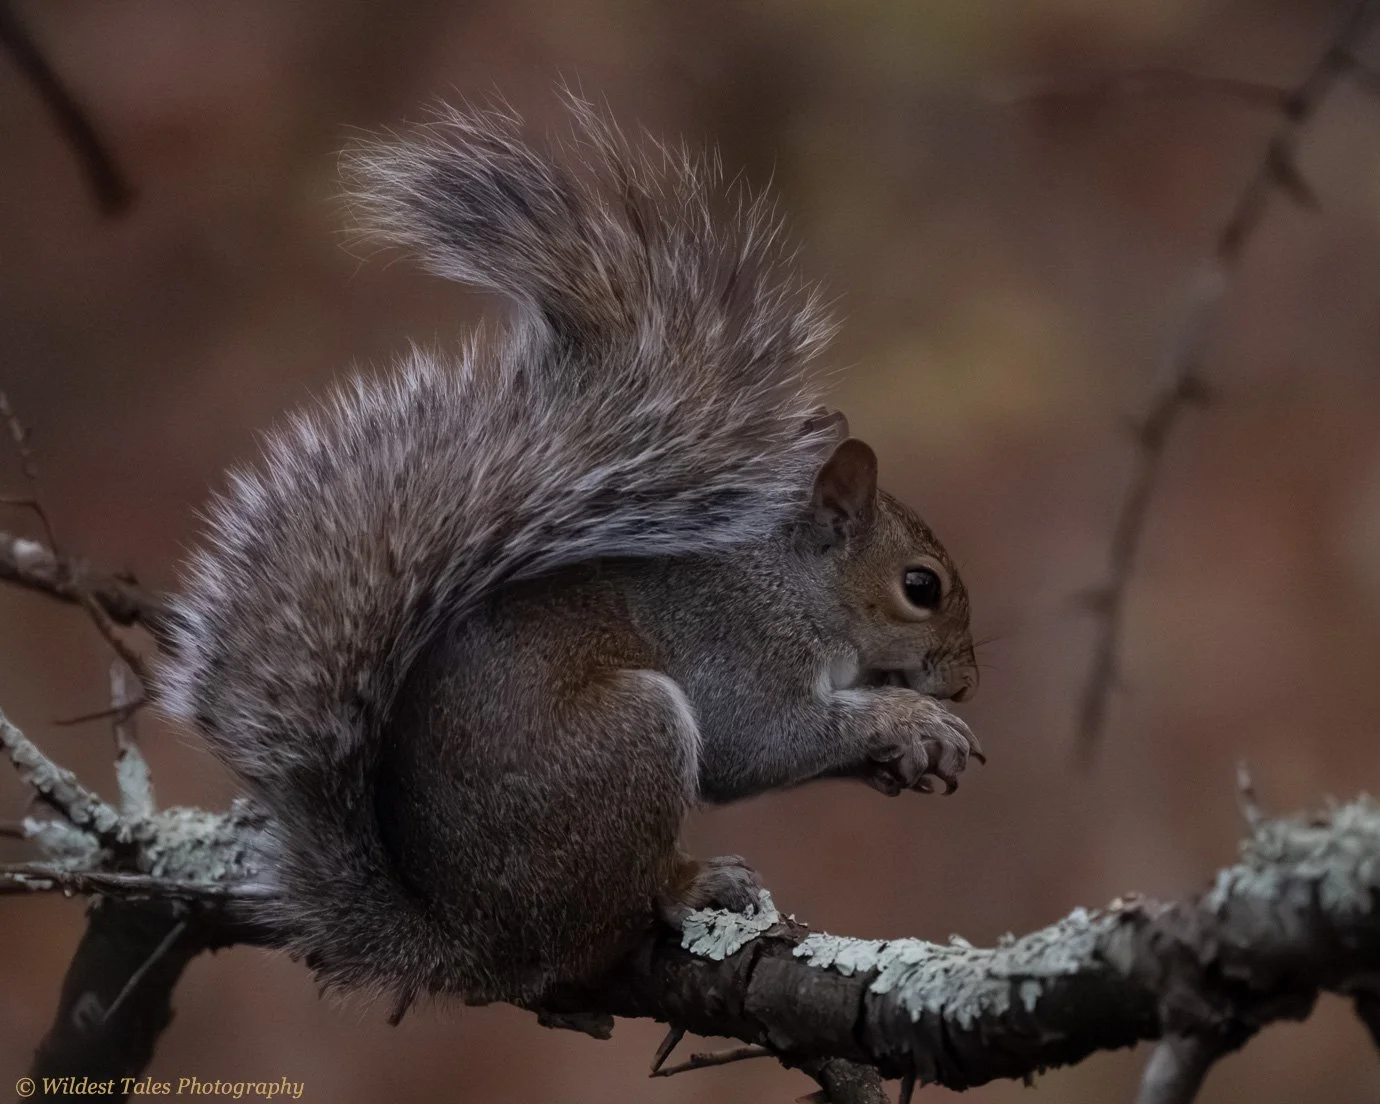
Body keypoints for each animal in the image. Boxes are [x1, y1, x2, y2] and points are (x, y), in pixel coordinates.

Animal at [156, 99, 982, 1016]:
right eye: (921, 586)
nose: (964, 681)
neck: (794, 583)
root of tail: (472, 944)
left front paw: (902, 756)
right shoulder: (739, 644)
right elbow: (756, 743)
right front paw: (910, 720)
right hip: (627, 744)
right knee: (615, 913)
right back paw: (691, 881)